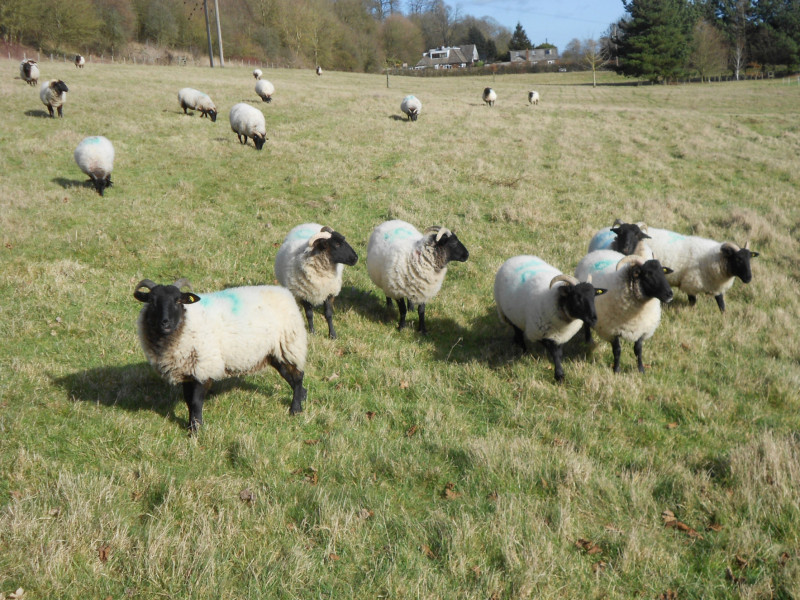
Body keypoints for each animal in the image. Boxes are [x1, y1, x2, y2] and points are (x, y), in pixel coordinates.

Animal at [134, 278, 308, 432]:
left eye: (178, 301)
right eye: (151, 301)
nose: (165, 322)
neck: (186, 323)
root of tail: (284, 292)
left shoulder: (203, 367)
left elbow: (195, 402)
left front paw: (195, 430)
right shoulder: (187, 370)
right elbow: (188, 401)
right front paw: (191, 426)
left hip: (290, 345)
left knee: (298, 377)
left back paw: (295, 409)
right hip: (275, 352)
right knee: (290, 376)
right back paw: (302, 396)